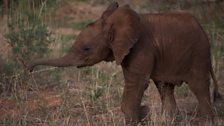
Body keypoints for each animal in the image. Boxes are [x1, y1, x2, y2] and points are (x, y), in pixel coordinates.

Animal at [27, 2, 221, 126]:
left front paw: (136, 119)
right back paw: (171, 121)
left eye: (86, 48)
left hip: (199, 52)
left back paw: (206, 122)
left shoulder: (141, 48)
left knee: (198, 86)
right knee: (165, 87)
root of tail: (202, 27)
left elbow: (137, 84)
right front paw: (143, 115)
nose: (29, 69)